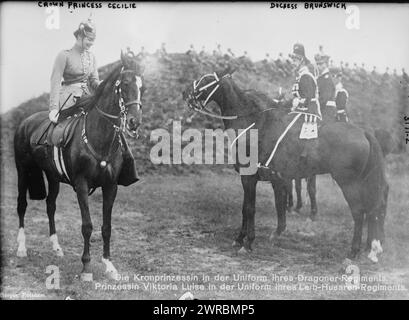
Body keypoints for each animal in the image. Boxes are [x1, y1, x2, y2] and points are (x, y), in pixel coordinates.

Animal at [13, 50, 143, 280]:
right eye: (126, 83)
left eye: (141, 85)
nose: (135, 122)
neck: (98, 136)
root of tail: (25, 122)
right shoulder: (82, 185)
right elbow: (87, 226)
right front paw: (86, 267)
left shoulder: (111, 186)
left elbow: (106, 226)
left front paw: (109, 265)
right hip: (23, 171)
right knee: (22, 205)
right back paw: (21, 248)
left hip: (53, 176)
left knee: (50, 205)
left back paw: (56, 247)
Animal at [182, 68, 388, 262]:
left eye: (208, 79)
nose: (186, 92)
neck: (254, 122)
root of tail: (364, 132)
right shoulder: (270, 179)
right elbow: (252, 207)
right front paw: (242, 238)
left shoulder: (249, 178)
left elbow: (249, 208)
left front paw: (248, 242)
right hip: (364, 182)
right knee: (373, 210)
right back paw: (371, 247)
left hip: (349, 184)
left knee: (360, 212)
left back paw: (353, 251)